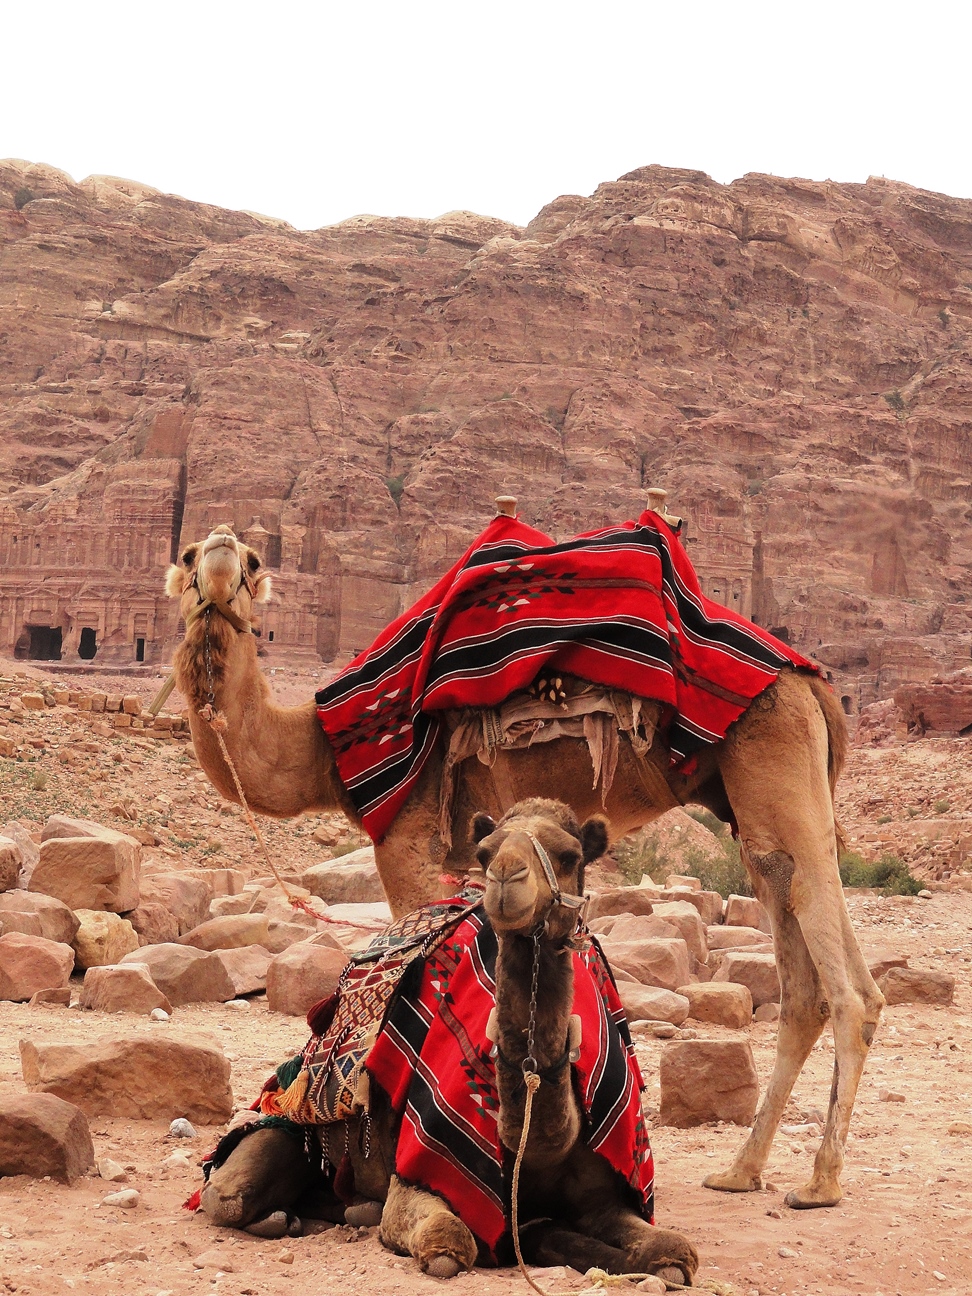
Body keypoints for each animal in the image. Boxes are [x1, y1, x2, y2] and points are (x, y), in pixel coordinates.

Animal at [165, 510, 881, 1207]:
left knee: (843, 977)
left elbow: (410, 962)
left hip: (775, 757)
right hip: (754, 798)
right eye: (189, 553)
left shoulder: (408, 833)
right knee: (802, 958)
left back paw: (821, 1182)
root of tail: (814, 687)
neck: (322, 752)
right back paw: (741, 1170)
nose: (221, 551)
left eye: (253, 560)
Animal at [199, 798, 699, 1285]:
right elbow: (448, 1243)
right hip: (285, 1124)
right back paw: (288, 1217)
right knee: (226, 1195)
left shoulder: (601, 1198)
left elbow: (672, 1252)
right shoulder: (420, 1176)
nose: (506, 876)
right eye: (485, 853)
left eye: (569, 854)